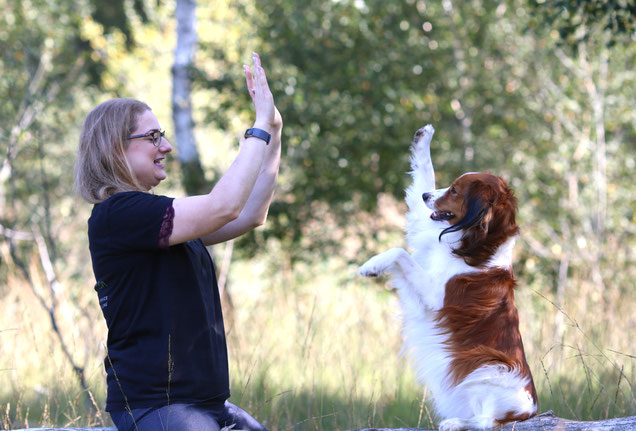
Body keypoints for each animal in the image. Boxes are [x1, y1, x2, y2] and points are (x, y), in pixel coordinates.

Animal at [358, 125, 536, 431]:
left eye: (454, 190)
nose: (426, 196)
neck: (479, 248)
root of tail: (531, 411)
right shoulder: (427, 231)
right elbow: (425, 172)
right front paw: (424, 138)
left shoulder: (434, 296)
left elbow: (399, 252)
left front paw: (372, 265)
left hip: (489, 367)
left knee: (487, 422)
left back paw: (456, 422)